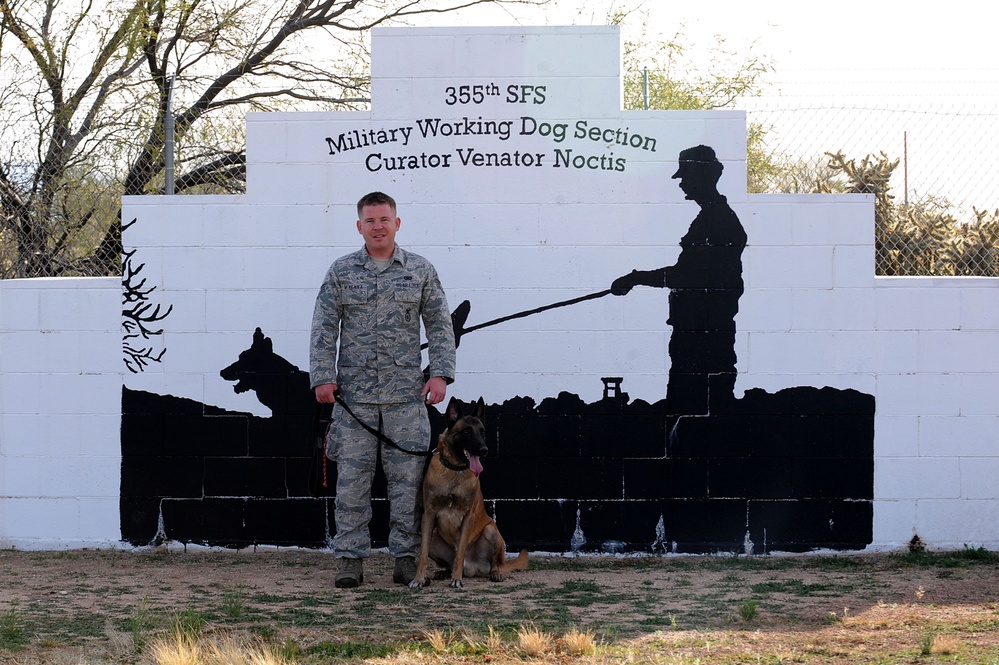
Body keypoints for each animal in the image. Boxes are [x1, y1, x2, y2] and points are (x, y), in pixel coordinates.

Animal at [408, 394, 528, 588]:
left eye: (482, 432)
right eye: (466, 432)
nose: (484, 450)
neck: (455, 470)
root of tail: (472, 568)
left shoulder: (468, 517)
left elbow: (460, 553)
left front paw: (456, 579)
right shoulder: (429, 515)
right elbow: (423, 555)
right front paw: (419, 579)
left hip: (491, 531)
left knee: (496, 563)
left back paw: (494, 574)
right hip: (433, 535)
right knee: (446, 562)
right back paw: (444, 572)